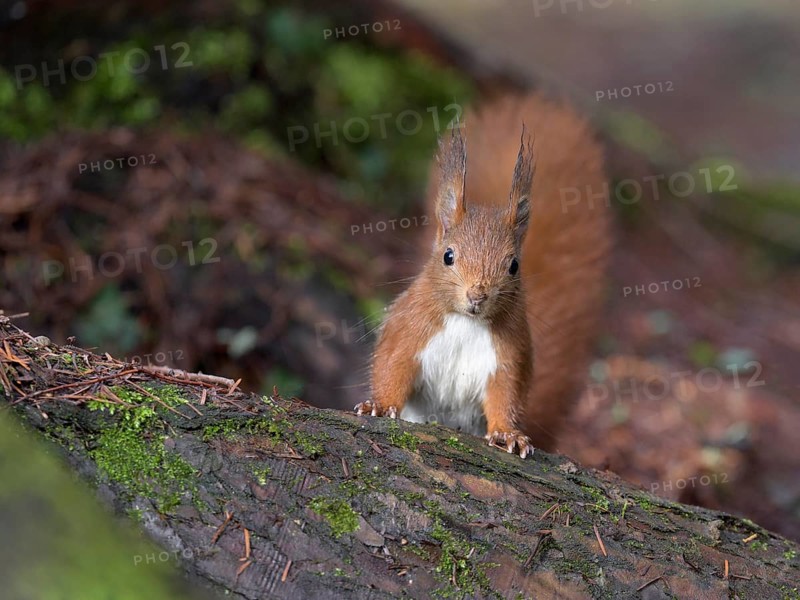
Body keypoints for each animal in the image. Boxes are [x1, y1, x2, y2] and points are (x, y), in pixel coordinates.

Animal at [356, 94, 610, 458]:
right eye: (448, 256)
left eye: (514, 265)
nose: (477, 295)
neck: (466, 322)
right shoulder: (409, 332)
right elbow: (392, 369)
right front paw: (378, 404)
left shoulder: (508, 357)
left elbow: (505, 397)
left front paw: (508, 434)